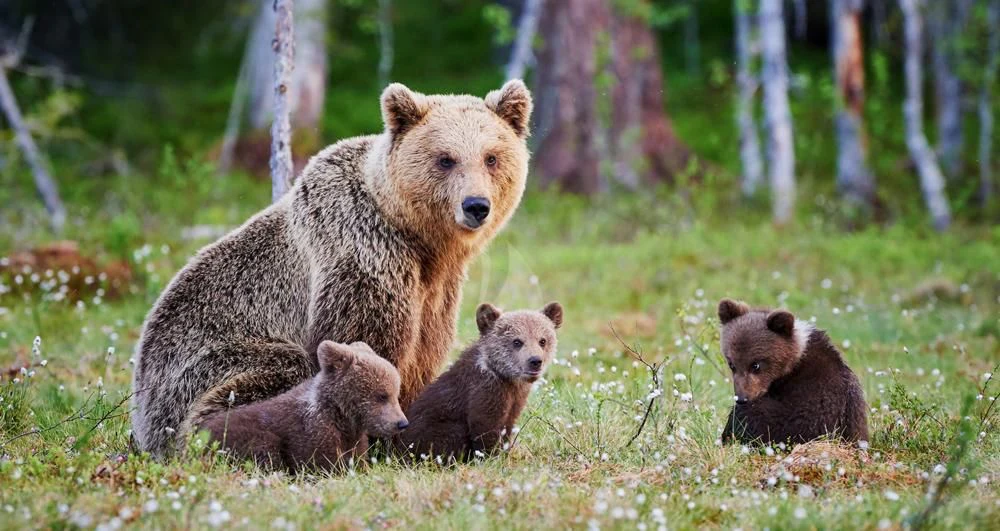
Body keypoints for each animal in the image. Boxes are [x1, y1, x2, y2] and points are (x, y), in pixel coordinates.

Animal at [131, 80, 533, 457]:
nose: (476, 205)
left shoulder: (437, 289)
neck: (419, 240)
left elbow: (424, 352)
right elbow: (366, 346)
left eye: (491, 157)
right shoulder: (362, 256)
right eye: (445, 159)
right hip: (200, 367)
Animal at [197, 341, 408, 472]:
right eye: (382, 395)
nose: (402, 423)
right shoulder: (312, 430)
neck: (343, 417)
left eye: (395, 393)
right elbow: (321, 461)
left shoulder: (354, 437)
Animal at [395, 302, 562, 461]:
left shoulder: (516, 399)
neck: (506, 378)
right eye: (517, 341)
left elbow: (507, 426)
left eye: (542, 340)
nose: (535, 361)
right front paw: (491, 457)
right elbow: (485, 428)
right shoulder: (485, 391)